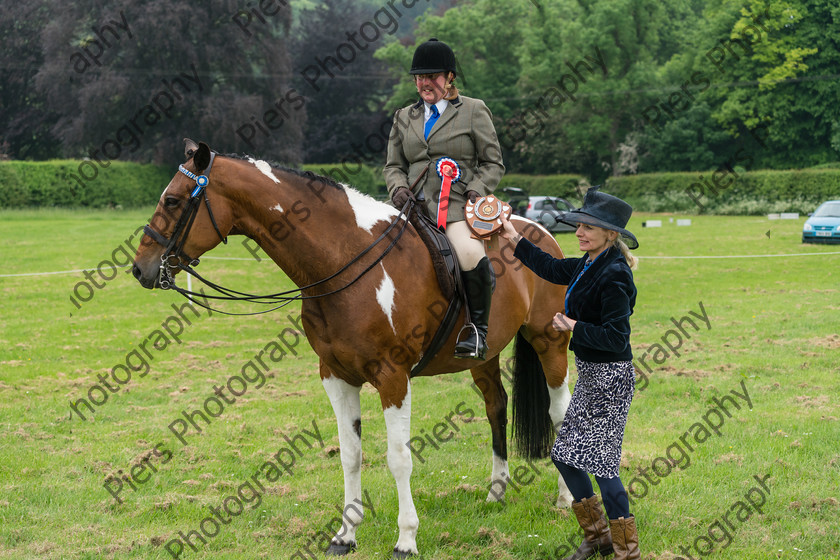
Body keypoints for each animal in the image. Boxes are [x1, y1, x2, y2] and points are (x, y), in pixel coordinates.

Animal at [131, 139, 576, 556]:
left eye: (172, 201)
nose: (140, 268)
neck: (345, 262)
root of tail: (539, 233)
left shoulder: (393, 378)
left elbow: (398, 457)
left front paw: (406, 539)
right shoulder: (336, 376)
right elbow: (351, 454)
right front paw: (345, 535)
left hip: (550, 342)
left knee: (559, 411)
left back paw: (566, 498)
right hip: (485, 355)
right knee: (495, 406)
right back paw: (496, 491)